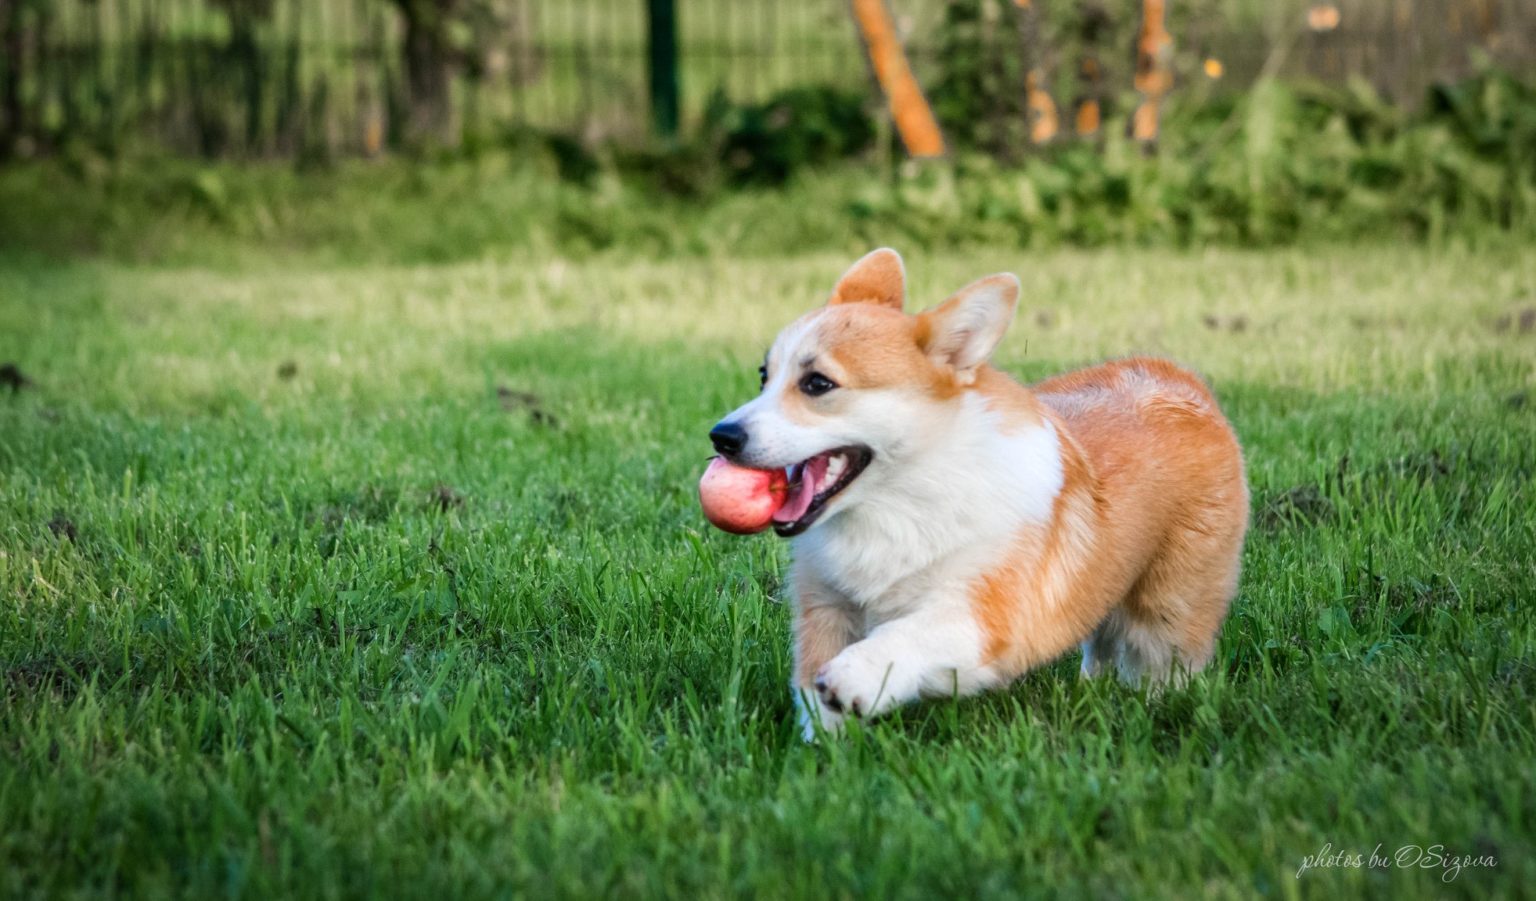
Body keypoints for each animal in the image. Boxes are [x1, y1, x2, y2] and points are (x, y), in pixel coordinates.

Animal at [706, 248, 1247, 739]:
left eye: (818, 383)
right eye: (764, 376)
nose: (721, 437)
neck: (901, 499)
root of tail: (1181, 379)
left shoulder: (985, 615)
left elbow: (907, 633)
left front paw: (854, 677)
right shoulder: (826, 604)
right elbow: (813, 676)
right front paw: (828, 743)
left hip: (1171, 604)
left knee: (1163, 657)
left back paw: (1157, 704)